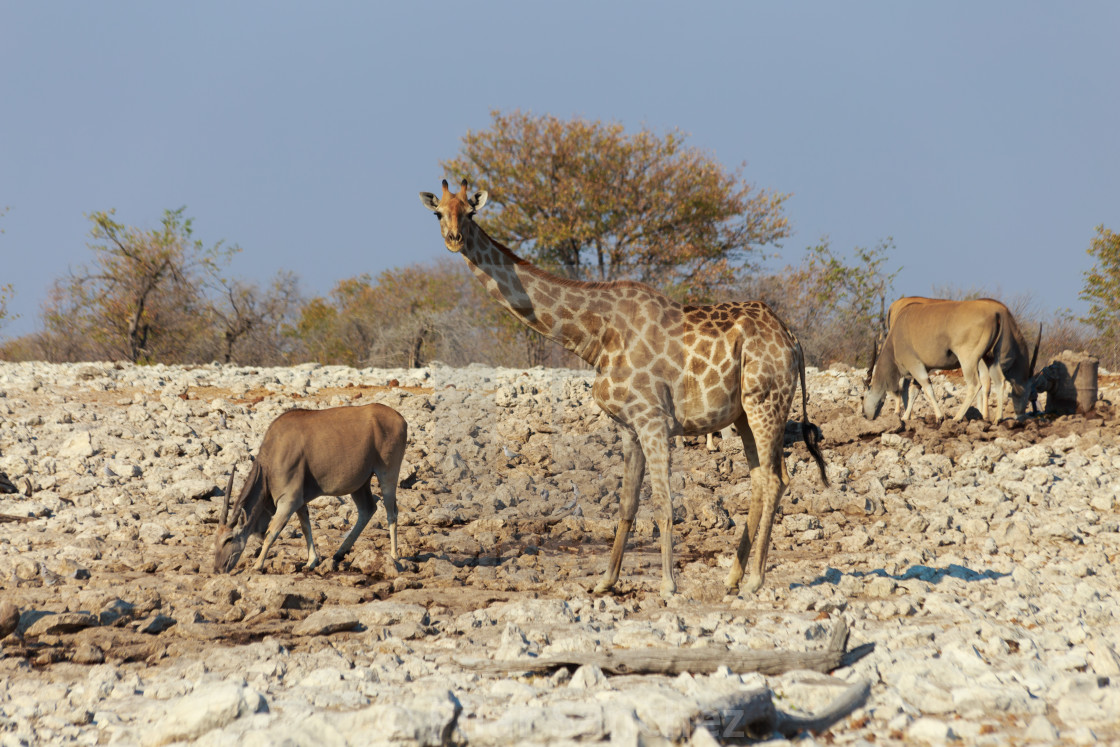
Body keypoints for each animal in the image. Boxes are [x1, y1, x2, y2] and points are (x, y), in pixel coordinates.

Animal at [416, 178, 828, 600]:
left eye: (470, 212)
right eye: (438, 213)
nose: (453, 239)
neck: (596, 337)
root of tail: (793, 340)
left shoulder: (654, 421)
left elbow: (664, 505)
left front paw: (668, 584)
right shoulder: (630, 428)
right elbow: (627, 505)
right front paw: (605, 580)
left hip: (766, 403)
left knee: (776, 479)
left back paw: (756, 579)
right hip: (745, 412)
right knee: (761, 478)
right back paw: (733, 577)